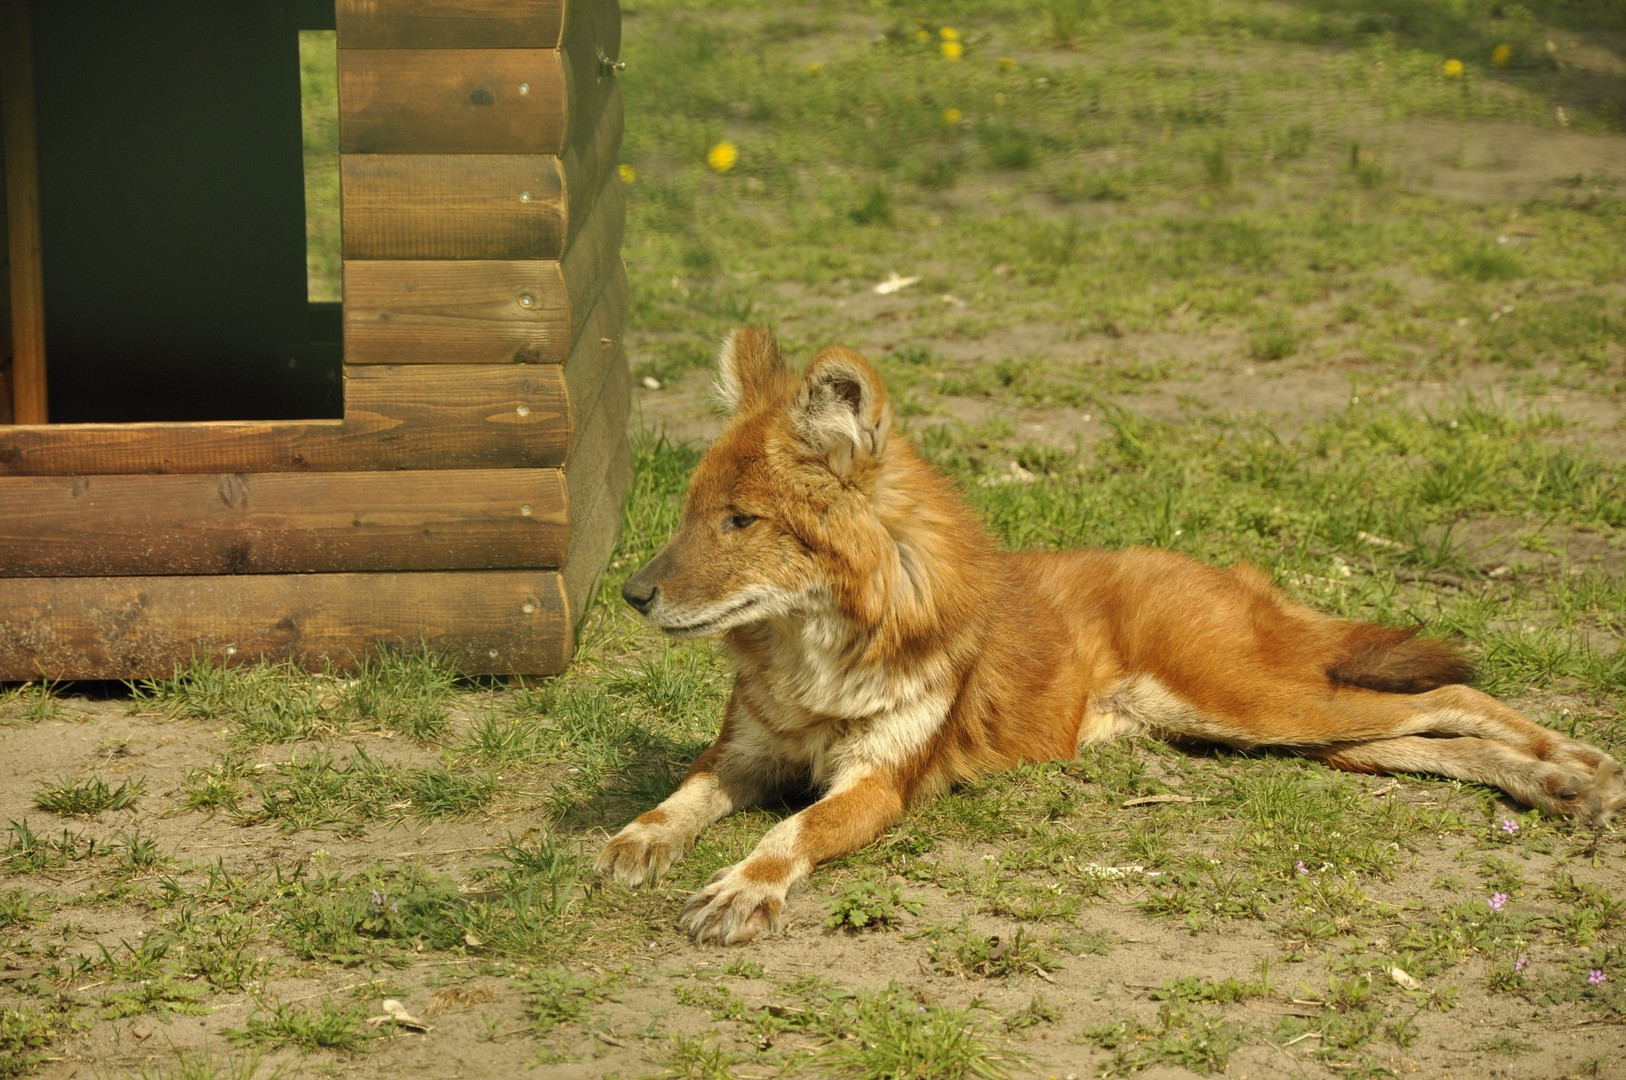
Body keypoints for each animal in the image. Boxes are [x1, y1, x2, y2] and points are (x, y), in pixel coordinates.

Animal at [601, 328, 1626, 943]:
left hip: (1251, 702)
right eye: (689, 512)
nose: (631, 592)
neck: (816, 659)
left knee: (1449, 693)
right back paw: (1554, 786)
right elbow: (683, 797)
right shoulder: (743, 755)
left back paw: (1576, 761)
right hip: (1272, 734)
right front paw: (635, 840)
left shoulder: (877, 785)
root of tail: (1226, 569)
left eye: (740, 521)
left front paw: (746, 885)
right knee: (1416, 737)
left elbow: (794, 831)